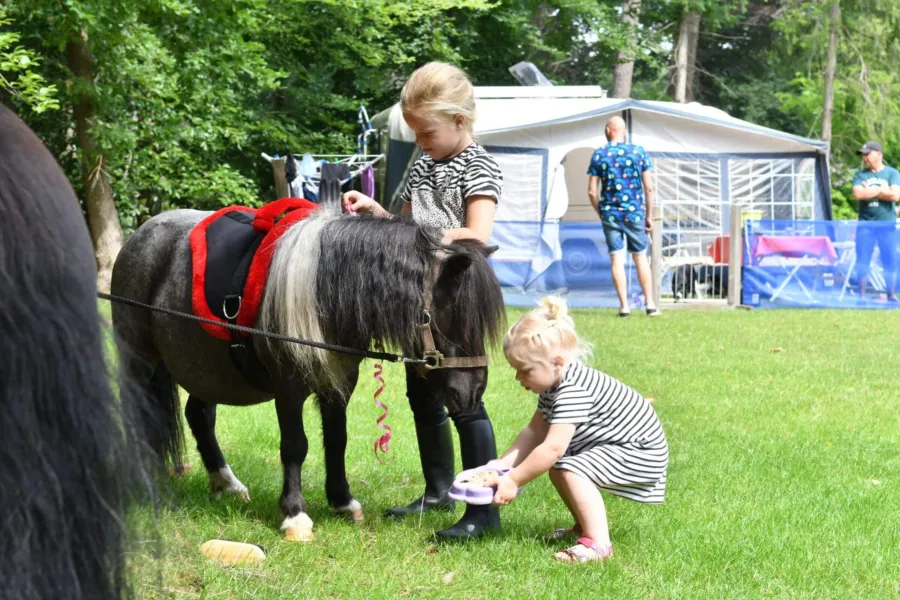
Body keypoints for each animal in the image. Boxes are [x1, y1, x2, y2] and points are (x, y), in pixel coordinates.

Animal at [110, 205, 506, 540]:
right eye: (454, 317)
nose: (473, 391)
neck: (323, 293)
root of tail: (140, 235)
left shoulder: (339, 385)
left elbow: (337, 439)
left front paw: (342, 501)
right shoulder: (289, 389)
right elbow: (295, 446)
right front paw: (294, 514)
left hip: (204, 368)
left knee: (199, 415)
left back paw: (226, 482)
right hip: (141, 360)